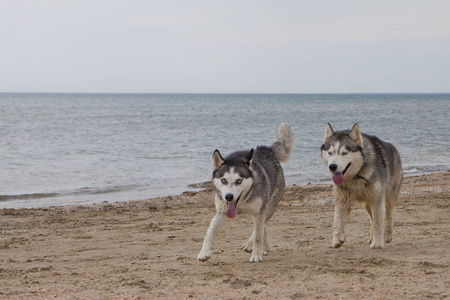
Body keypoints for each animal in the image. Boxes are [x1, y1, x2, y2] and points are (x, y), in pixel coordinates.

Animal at [199, 123, 294, 262]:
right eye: (223, 180)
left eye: (239, 181)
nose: (229, 197)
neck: (240, 203)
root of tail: (267, 150)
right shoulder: (221, 212)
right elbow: (209, 232)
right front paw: (205, 252)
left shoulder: (259, 211)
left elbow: (258, 235)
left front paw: (256, 254)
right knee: (262, 226)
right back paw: (264, 247)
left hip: (269, 206)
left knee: (261, 225)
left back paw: (252, 245)